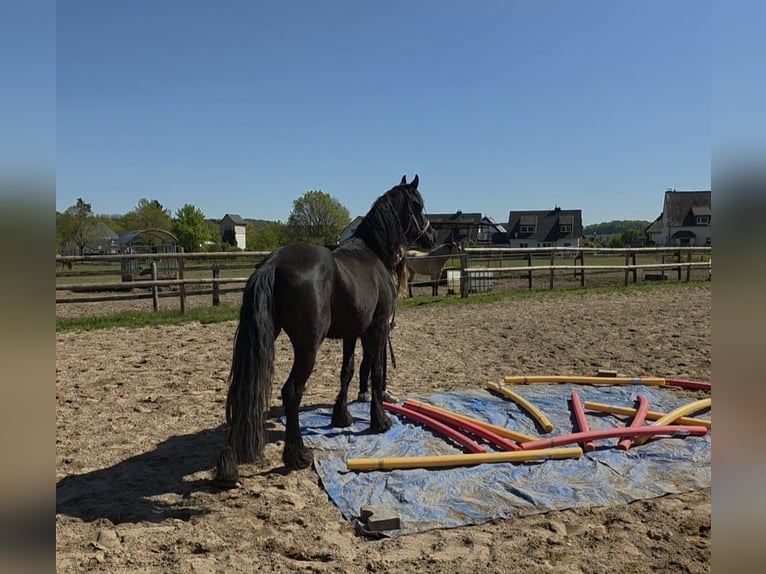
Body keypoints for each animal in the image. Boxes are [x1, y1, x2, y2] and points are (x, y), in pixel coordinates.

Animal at [215, 175, 436, 484]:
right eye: (418, 205)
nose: (432, 237)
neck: (373, 253)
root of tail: (274, 263)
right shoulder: (377, 329)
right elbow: (377, 372)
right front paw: (380, 421)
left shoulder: (351, 334)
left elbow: (347, 371)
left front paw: (341, 417)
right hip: (308, 348)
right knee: (292, 392)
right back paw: (297, 455)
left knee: (241, 391)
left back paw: (230, 464)